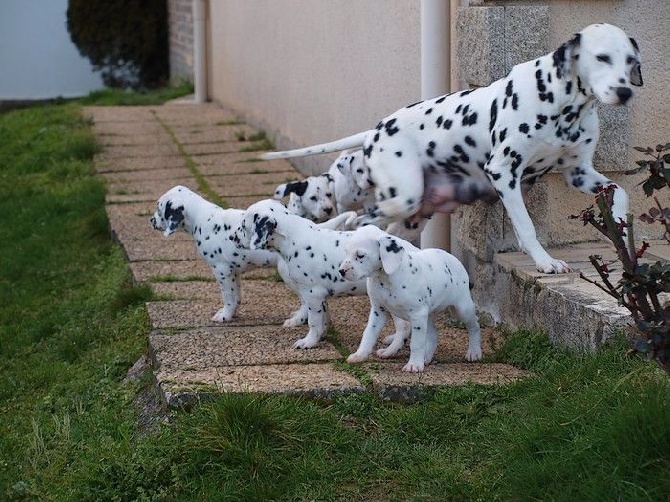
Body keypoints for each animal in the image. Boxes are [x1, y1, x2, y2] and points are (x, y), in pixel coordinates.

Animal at [232, 198, 410, 348]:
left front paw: (308, 342)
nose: (233, 237)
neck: (293, 237)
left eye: (243, 225)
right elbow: (323, 319)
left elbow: (314, 321)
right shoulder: (319, 296)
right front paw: (321, 336)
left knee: (404, 326)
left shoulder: (312, 294)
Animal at [260, 23, 644, 274]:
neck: (562, 103)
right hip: (403, 199)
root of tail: (376, 130)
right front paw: (545, 261)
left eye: (629, 60)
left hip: (412, 216)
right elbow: (527, 226)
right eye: (601, 57)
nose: (625, 92)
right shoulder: (504, 173)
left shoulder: (579, 173)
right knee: (356, 219)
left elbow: (621, 192)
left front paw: (622, 233)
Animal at [342, 226, 484, 370]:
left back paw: (474, 351)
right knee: (433, 335)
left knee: (474, 325)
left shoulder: (417, 314)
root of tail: (454, 259)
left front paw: (414, 365)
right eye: (346, 252)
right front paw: (360, 355)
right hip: (427, 316)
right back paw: (422, 357)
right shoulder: (378, 311)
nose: (341, 271)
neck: (386, 278)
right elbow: (369, 334)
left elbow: (416, 343)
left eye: (360, 255)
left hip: (461, 309)